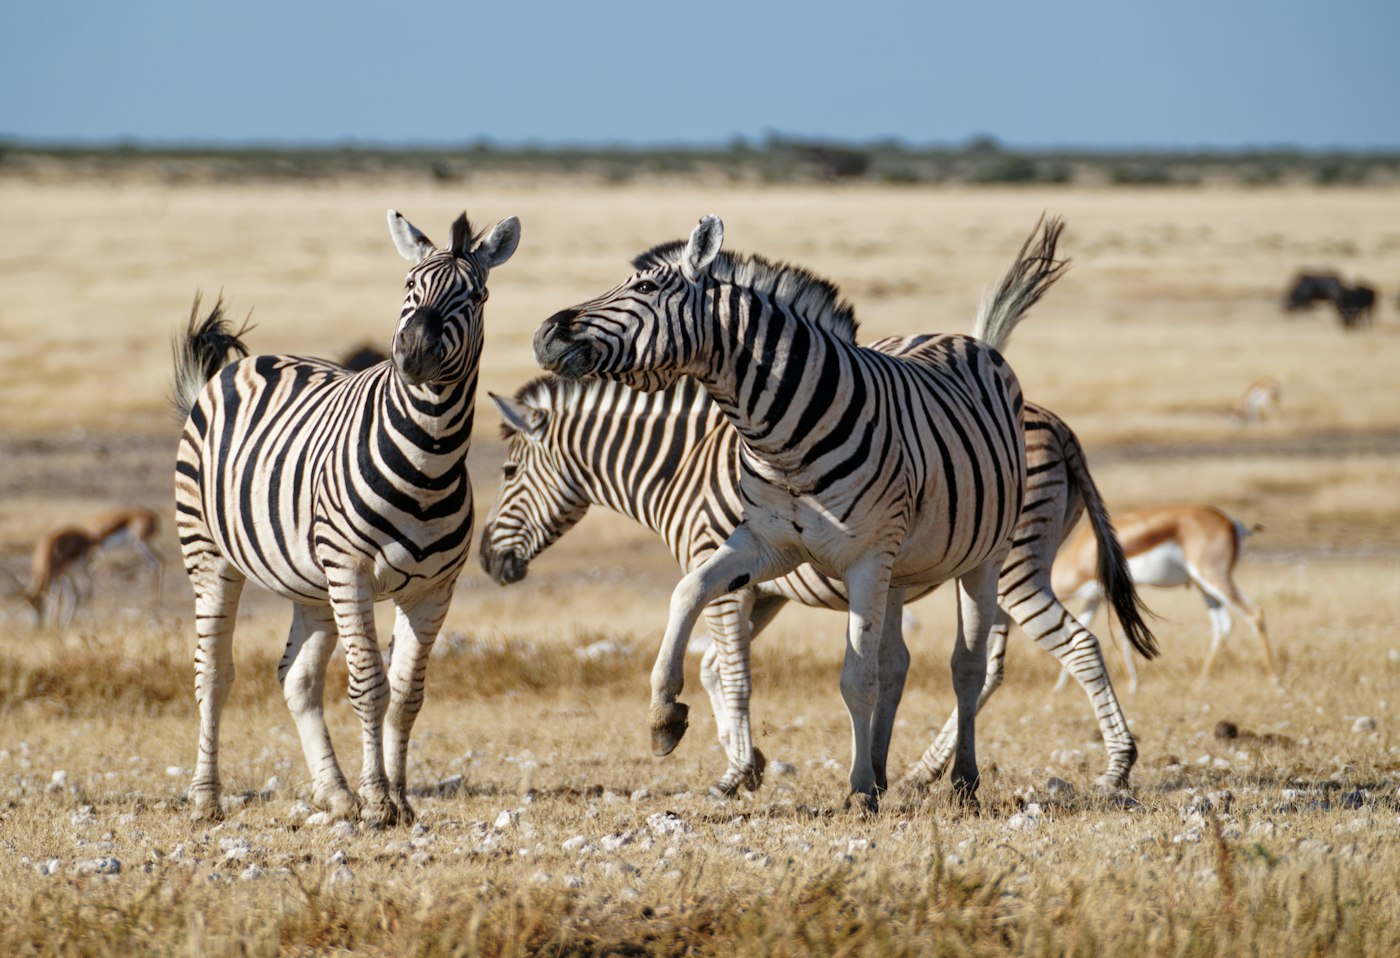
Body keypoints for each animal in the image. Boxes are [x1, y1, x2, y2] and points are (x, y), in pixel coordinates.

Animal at [169, 209, 520, 826]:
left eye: (476, 296)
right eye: (409, 287)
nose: (413, 352)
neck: (429, 463)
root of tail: (240, 366)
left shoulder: (433, 591)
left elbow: (406, 695)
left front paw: (398, 798)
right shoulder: (353, 573)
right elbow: (370, 688)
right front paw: (379, 800)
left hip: (312, 581)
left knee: (298, 679)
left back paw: (333, 792)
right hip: (211, 556)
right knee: (212, 674)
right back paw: (206, 799)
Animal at [480, 379, 1153, 799]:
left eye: (507, 471)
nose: (487, 560)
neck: (680, 464)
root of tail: (1060, 426)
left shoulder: (728, 575)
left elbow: (730, 671)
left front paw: (733, 768)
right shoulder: (763, 588)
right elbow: (715, 668)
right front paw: (744, 763)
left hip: (1011, 566)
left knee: (1078, 645)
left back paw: (1116, 768)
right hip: (996, 568)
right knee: (987, 666)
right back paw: (924, 771)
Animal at [532, 214, 1073, 811]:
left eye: (646, 287)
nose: (544, 334)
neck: (783, 441)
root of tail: (973, 340)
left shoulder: (863, 557)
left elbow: (855, 678)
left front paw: (857, 791)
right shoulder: (764, 544)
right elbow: (688, 591)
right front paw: (664, 716)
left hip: (984, 558)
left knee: (968, 667)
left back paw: (961, 780)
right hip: (899, 570)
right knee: (896, 664)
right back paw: (883, 770)